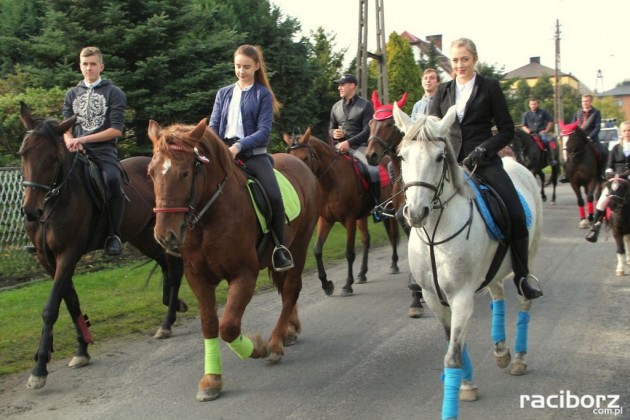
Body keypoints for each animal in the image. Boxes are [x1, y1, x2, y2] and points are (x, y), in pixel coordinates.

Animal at [18, 101, 186, 390]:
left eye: (52, 158)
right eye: (22, 154)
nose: (30, 211)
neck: (54, 202)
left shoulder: (68, 254)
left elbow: (51, 308)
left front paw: (39, 368)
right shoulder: (46, 259)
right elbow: (70, 302)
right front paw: (81, 350)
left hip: (164, 234)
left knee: (174, 272)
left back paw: (166, 322)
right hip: (143, 237)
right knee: (165, 266)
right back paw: (173, 307)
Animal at [149, 118, 324, 400]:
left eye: (184, 173)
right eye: (151, 173)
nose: (165, 236)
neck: (209, 220)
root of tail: (299, 165)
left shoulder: (244, 275)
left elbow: (229, 326)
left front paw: (258, 347)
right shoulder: (198, 278)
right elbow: (210, 325)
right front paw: (211, 380)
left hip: (299, 245)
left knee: (291, 289)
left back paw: (276, 343)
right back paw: (289, 330)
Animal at [286, 127, 400, 296]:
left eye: (305, 157)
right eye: (290, 157)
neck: (331, 182)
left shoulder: (349, 219)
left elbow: (349, 253)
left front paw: (347, 284)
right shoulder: (326, 220)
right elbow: (317, 249)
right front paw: (326, 284)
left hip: (389, 210)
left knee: (392, 235)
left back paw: (393, 264)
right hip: (363, 217)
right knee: (366, 239)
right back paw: (362, 274)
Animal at [396, 102, 544, 420]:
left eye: (440, 157)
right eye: (402, 155)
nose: (415, 213)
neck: (435, 234)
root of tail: (514, 164)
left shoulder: (461, 297)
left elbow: (452, 355)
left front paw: (455, 399)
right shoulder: (433, 297)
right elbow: (453, 342)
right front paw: (466, 384)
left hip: (529, 257)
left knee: (524, 300)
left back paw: (518, 359)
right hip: (494, 270)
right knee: (498, 296)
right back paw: (501, 351)